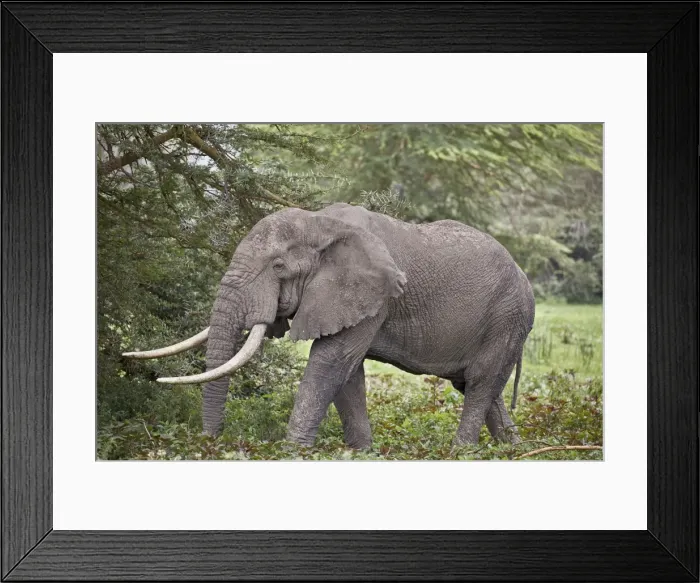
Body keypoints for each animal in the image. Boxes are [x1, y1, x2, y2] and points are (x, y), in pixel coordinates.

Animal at [123, 202, 535, 449]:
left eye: (278, 267)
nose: (209, 443)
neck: (319, 222)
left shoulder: (375, 294)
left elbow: (330, 361)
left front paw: (291, 451)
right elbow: (348, 374)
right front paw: (362, 453)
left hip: (508, 316)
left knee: (480, 383)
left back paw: (460, 451)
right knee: (479, 386)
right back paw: (512, 450)